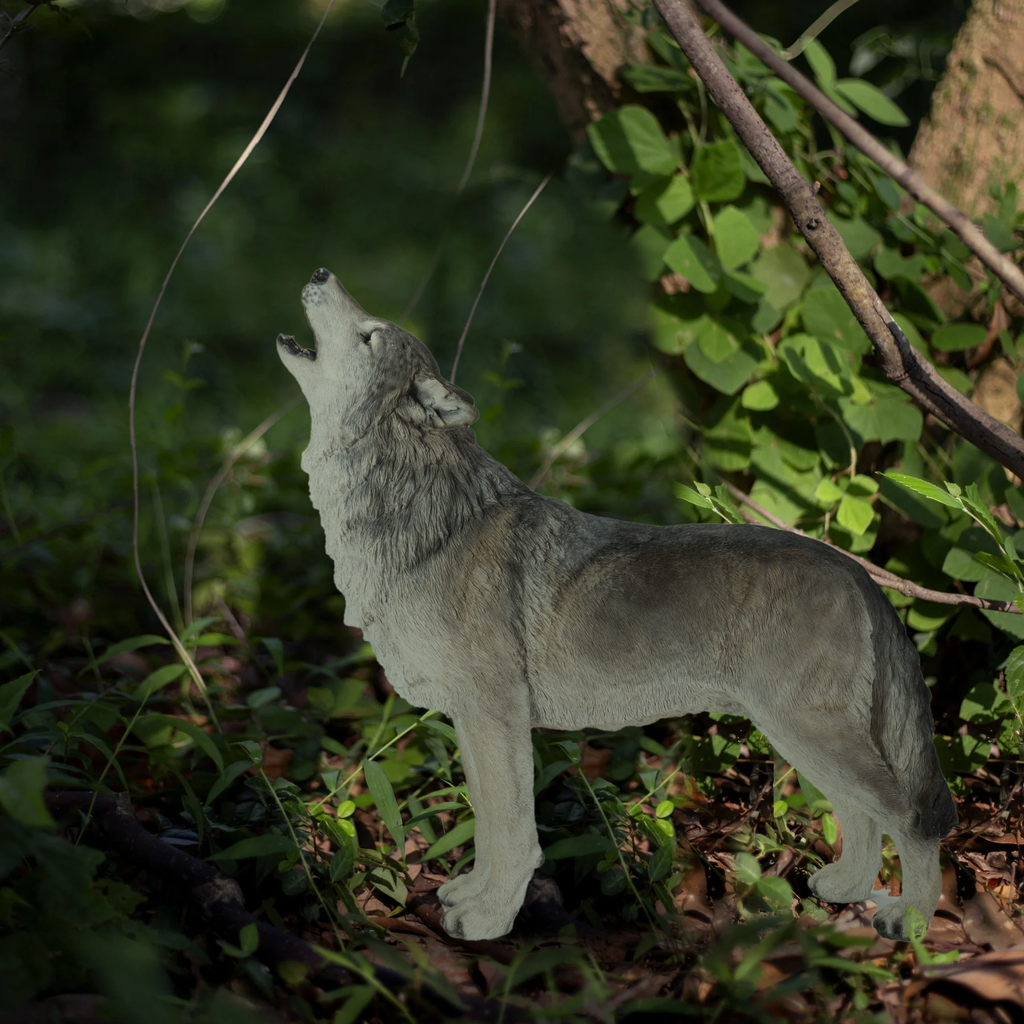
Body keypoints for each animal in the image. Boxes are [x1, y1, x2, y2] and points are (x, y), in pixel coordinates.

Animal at [277, 268, 956, 943]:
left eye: (369, 335)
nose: (319, 271)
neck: (426, 525)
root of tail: (856, 570)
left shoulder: (495, 714)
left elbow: (512, 834)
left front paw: (490, 920)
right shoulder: (472, 720)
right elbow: (489, 831)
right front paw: (470, 895)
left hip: (807, 731)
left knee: (910, 817)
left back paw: (909, 920)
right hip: (799, 737)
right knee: (861, 814)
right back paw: (843, 890)